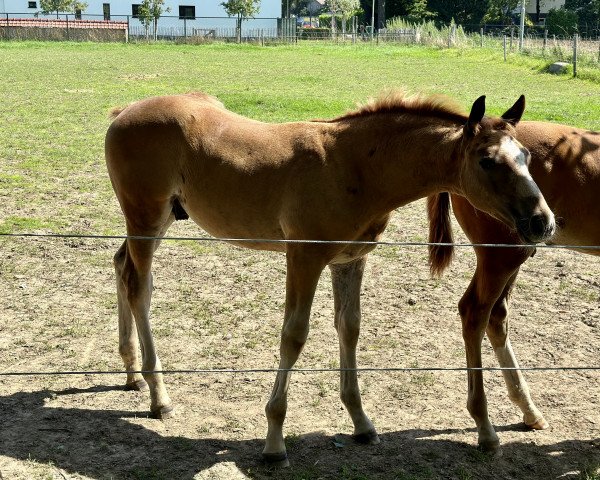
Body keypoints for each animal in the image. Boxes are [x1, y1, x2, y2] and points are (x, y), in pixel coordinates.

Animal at [105, 91, 556, 464]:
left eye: (527, 157)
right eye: (487, 160)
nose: (543, 222)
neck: (353, 165)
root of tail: (123, 110)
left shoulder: (349, 261)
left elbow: (349, 327)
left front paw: (362, 423)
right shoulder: (304, 257)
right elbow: (294, 335)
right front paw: (274, 441)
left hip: (162, 218)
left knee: (122, 266)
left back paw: (131, 374)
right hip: (145, 217)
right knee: (139, 287)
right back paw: (159, 396)